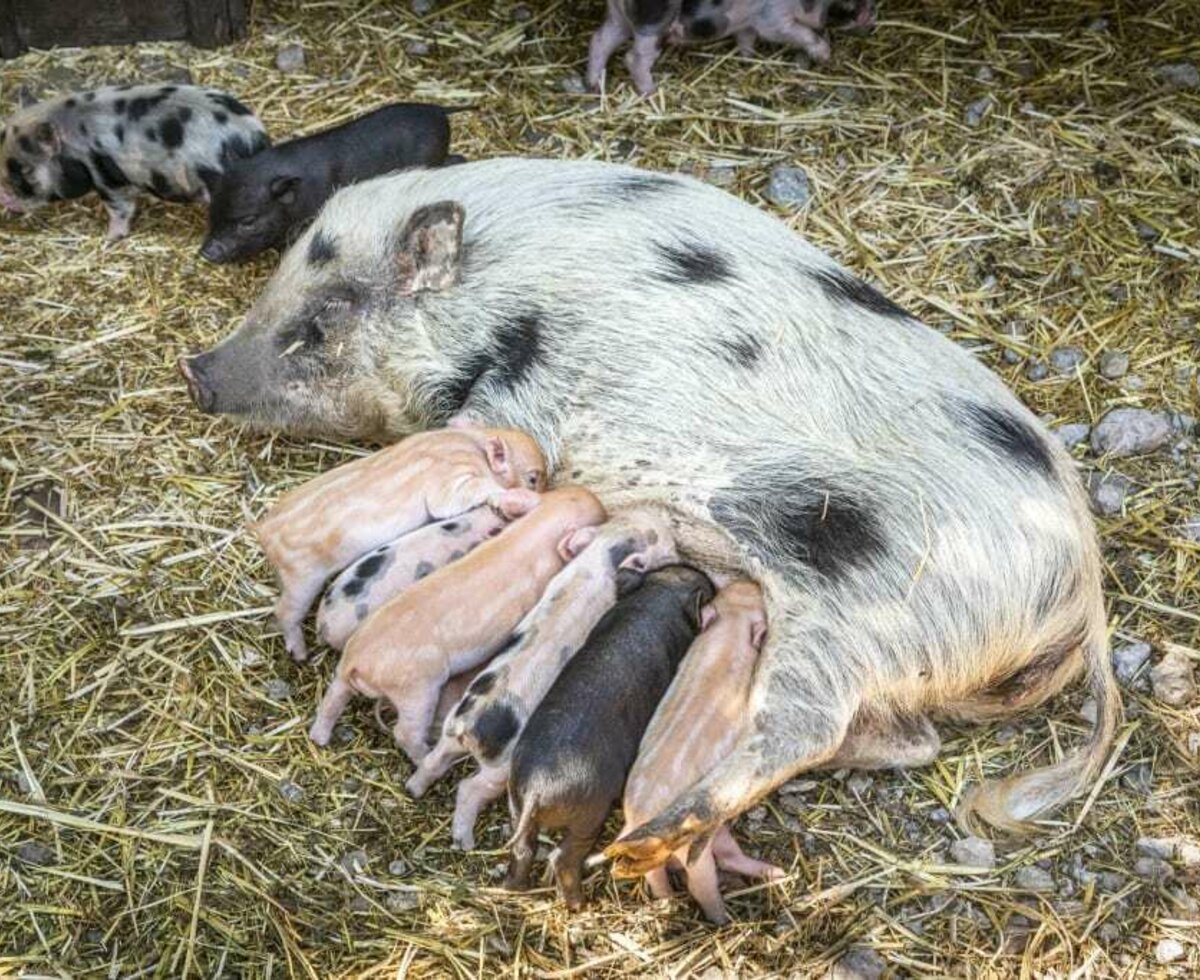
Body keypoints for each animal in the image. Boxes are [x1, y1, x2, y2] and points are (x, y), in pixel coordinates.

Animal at [0, 83, 267, 237]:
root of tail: (252, 138)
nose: (3, 196)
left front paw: (109, 239)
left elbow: (120, 209)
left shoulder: (107, 179)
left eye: (23, 170)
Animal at [180, 158, 1123, 878]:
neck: (498, 299)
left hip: (856, 588)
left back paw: (643, 846)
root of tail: (1081, 588)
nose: (198, 371)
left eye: (323, 319)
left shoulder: (514, 404)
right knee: (906, 738)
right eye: (279, 283)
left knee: (806, 724)